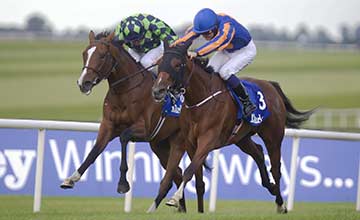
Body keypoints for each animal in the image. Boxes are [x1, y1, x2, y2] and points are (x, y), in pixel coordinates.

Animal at [59, 31, 207, 213]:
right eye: (84, 54)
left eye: (102, 55)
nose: (83, 83)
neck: (125, 91)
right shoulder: (108, 126)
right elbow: (94, 151)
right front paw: (71, 179)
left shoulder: (144, 129)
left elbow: (124, 137)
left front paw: (123, 184)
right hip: (160, 146)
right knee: (177, 175)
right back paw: (179, 209)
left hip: (185, 142)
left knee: (192, 179)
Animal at [150, 41, 314, 213]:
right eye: (160, 63)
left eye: (177, 65)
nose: (157, 90)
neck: (200, 100)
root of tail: (270, 85)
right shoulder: (190, 143)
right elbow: (198, 180)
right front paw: (199, 211)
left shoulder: (207, 140)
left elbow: (189, 170)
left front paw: (174, 199)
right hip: (241, 138)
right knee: (258, 153)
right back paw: (271, 186)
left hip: (273, 137)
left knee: (275, 168)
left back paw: (281, 204)